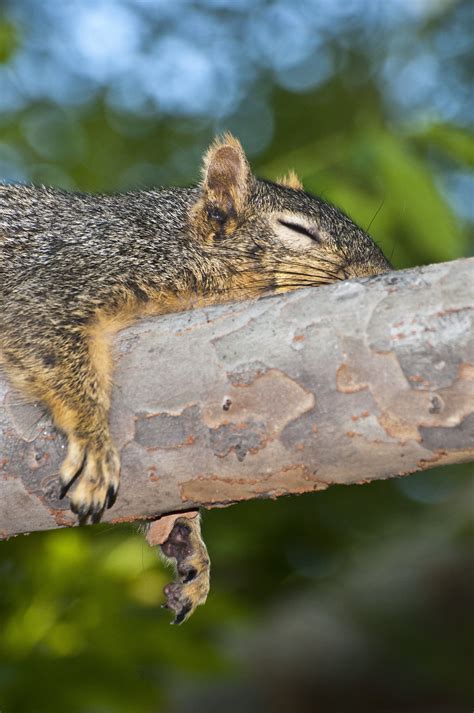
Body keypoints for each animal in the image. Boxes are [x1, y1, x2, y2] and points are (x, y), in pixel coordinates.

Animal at [0, 133, 391, 623]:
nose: (382, 275)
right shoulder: (69, 276)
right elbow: (48, 342)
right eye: (298, 230)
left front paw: (184, 536)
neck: (179, 242)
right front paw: (93, 445)